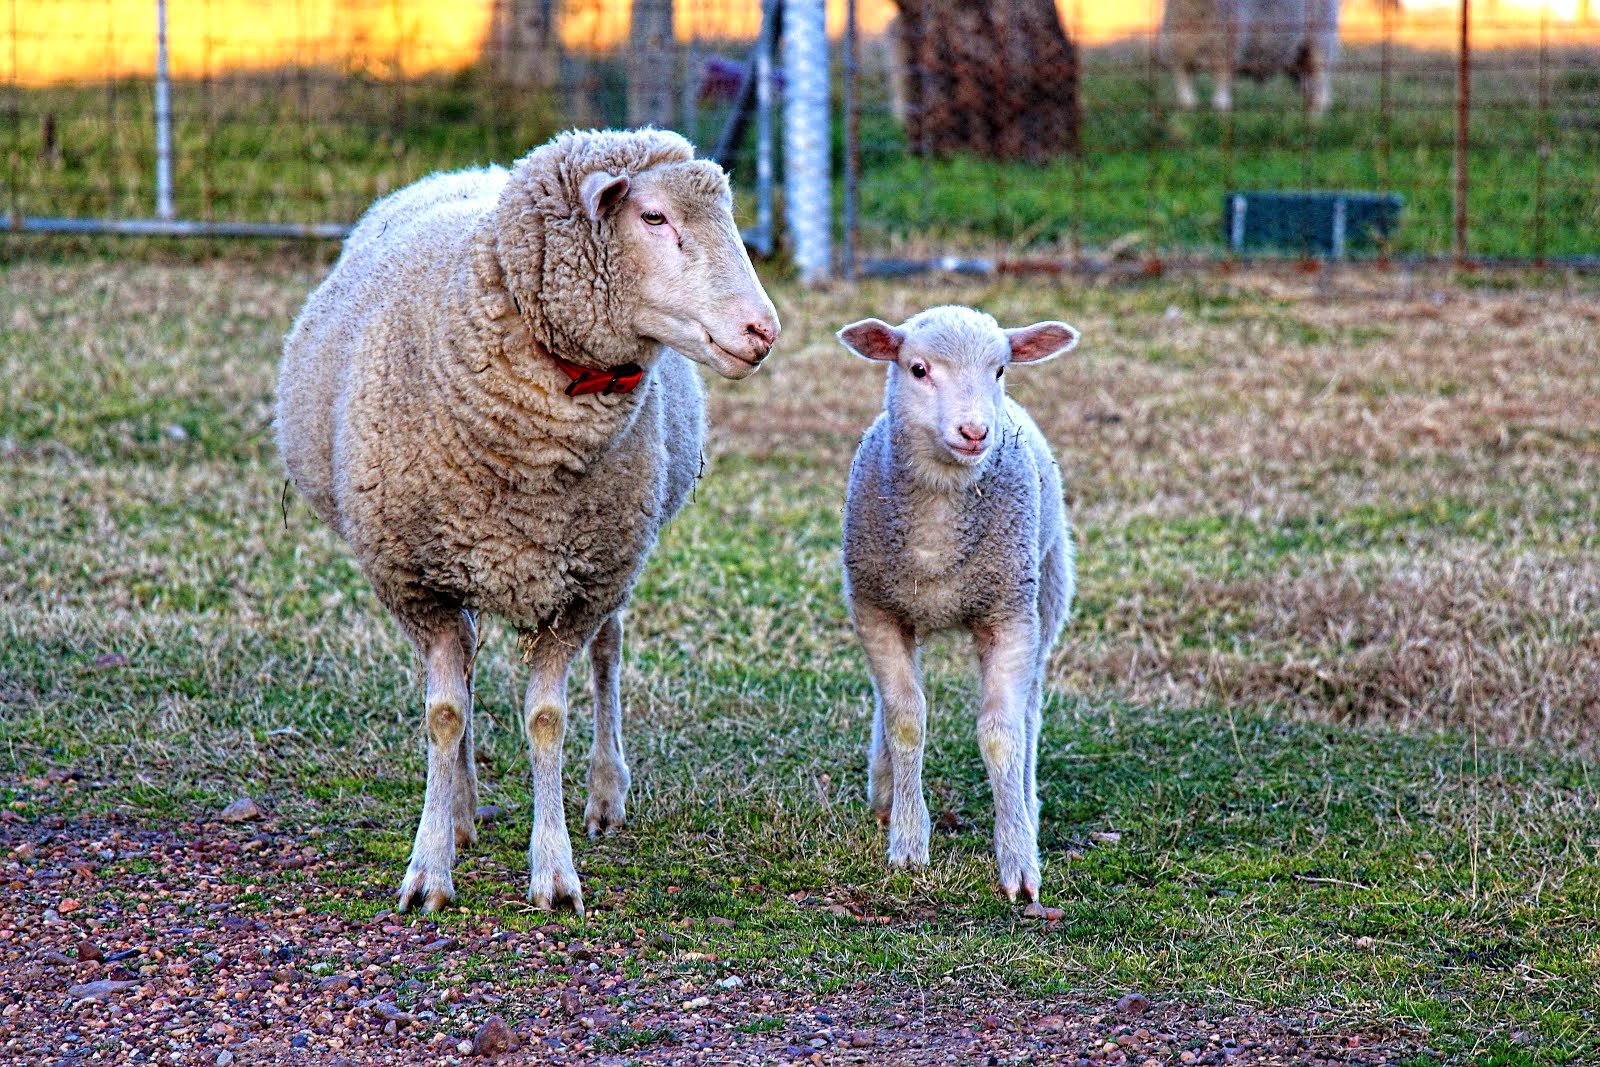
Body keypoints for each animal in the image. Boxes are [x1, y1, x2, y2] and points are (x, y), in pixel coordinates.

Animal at [832, 303, 1081, 908]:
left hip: (1048, 589)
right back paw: (885, 791)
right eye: (918, 369)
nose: (975, 432)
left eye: (1000, 369)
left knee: (1030, 711)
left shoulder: (1008, 616)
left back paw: (1027, 802)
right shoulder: (876, 610)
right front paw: (907, 841)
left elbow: (1000, 733)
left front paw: (1018, 860)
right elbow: (905, 719)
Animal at [1158, 0, 1344, 115]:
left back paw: (1315, 123)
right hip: (1297, 57)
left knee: (1321, 90)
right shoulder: (1180, 61)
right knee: (1309, 90)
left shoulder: (1226, 56)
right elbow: (1187, 100)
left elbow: (1221, 100)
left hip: (1320, 43)